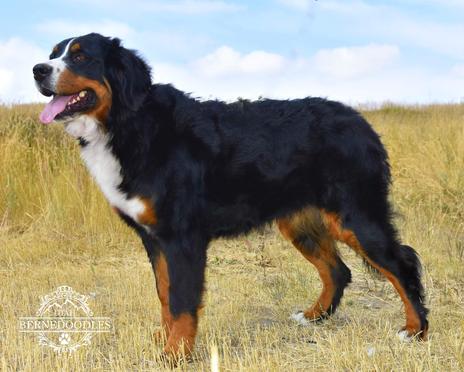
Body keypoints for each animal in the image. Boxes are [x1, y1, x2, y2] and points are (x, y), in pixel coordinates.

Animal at [32, 33, 428, 358]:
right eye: (53, 54)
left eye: (81, 56)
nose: (37, 69)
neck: (129, 123)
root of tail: (362, 123)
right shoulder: (154, 238)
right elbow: (164, 294)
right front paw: (164, 340)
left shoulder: (181, 237)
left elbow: (181, 301)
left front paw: (176, 354)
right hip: (300, 223)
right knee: (338, 270)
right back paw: (314, 316)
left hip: (355, 217)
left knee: (402, 264)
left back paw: (415, 330)